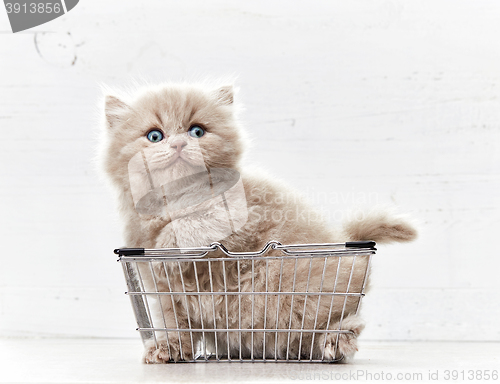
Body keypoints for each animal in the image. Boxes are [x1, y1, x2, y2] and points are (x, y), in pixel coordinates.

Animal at [99, 82, 416, 364]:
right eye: (154, 136)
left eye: (197, 131)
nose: (178, 143)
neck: (178, 198)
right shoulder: (166, 292)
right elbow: (173, 322)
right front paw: (170, 348)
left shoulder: (245, 214)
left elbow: (194, 222)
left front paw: (168, 243)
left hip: (310, 294)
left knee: (327, 327)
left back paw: (336, 340)